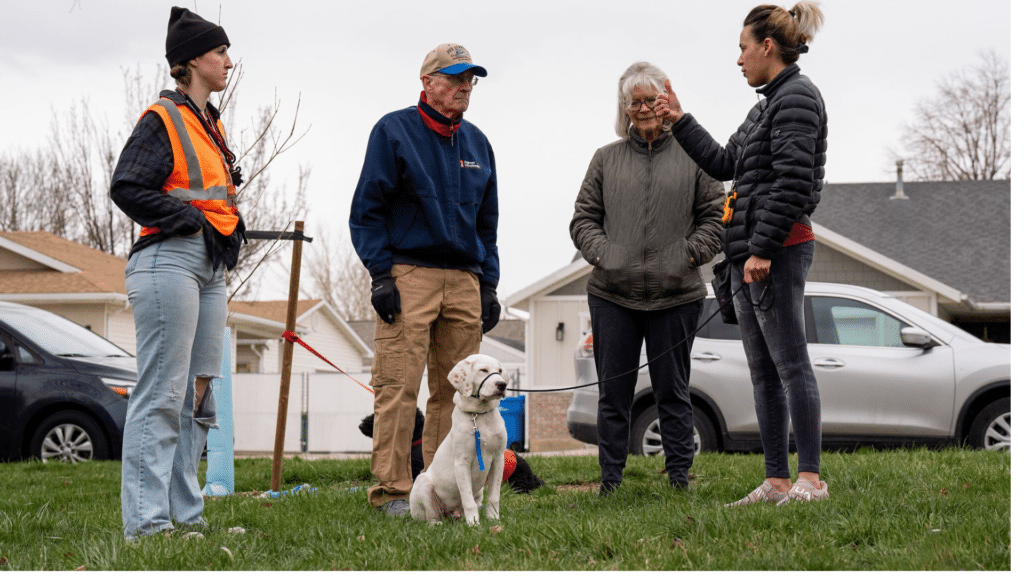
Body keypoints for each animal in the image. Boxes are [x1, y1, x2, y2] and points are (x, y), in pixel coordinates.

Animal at [409, 352, 512, 522]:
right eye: (483, 370)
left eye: (499, 371)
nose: (502, 385)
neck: (479, 415)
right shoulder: (462, 463)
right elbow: (467, 499)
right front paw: (474, 523)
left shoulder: (498, 459)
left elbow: (494, 496)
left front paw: (494, 520)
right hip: (423, 484)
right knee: (430, 517)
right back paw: (437, 523)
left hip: (479, 494)